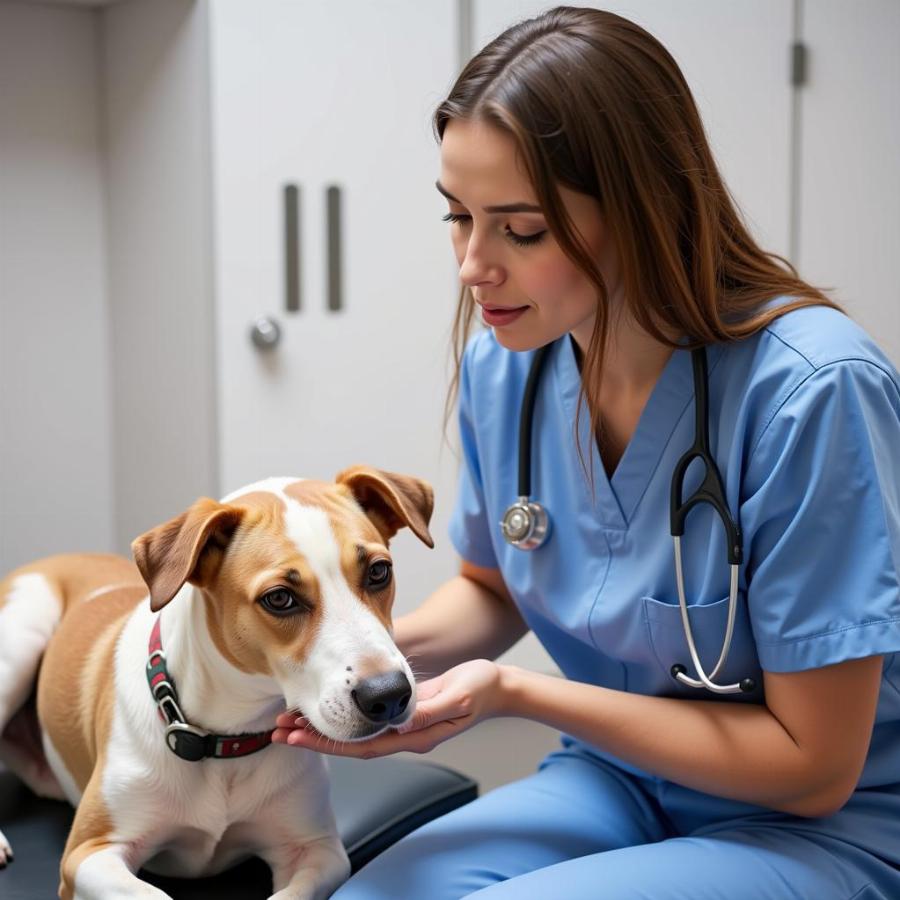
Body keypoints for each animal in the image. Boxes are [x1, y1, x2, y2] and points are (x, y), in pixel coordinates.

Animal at [0, 468, 436, 896]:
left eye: (378, 572)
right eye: (280, 598)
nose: (388, 694)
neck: (225, 742)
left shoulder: (317, 851)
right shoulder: (89, 852)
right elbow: (150, 893)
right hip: (21, 638)